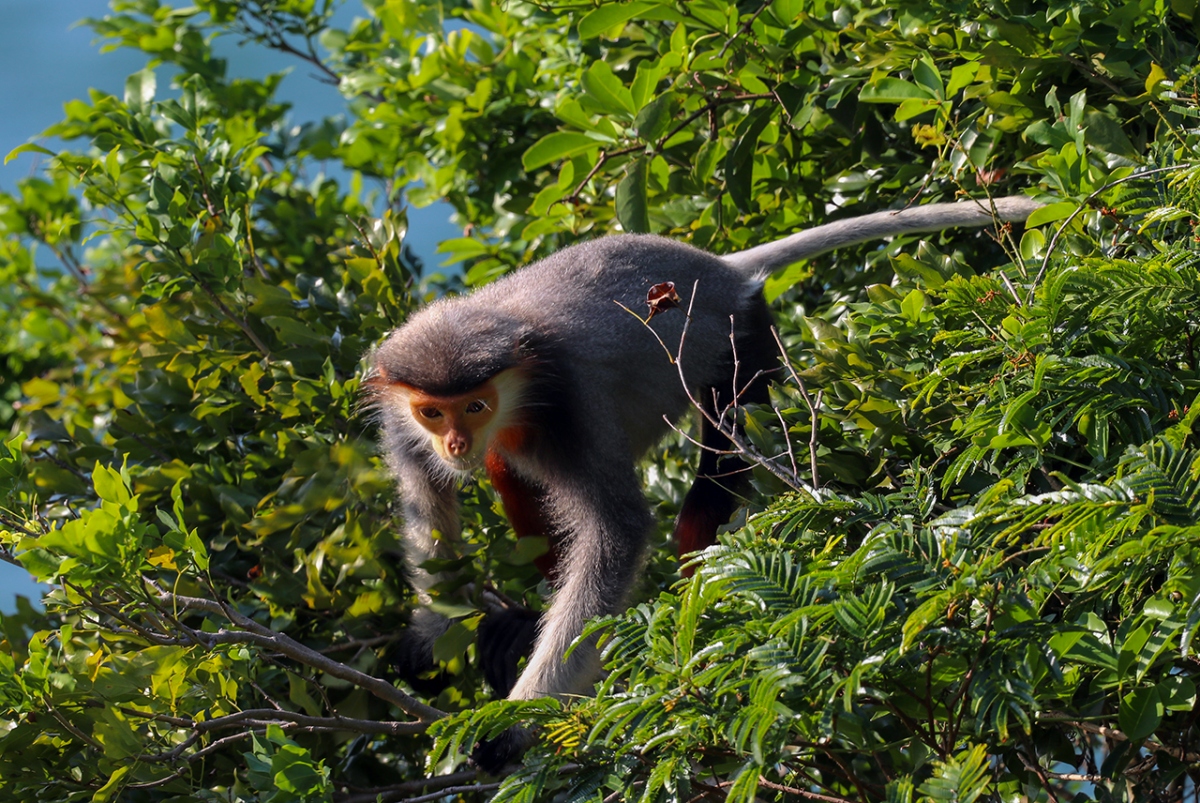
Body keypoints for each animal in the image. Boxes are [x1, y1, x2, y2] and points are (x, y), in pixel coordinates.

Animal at [364, 195, 1041, 768]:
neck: (516, 389)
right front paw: (431, 634)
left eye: (474, 407)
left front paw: (516, 722)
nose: (455, 443)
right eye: (433, 413)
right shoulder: (403, 424)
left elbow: (618, 535)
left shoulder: (570, 410)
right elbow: (427, 502)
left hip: (746, 339)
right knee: (510, 470)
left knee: (720, 458)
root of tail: (723, 270)